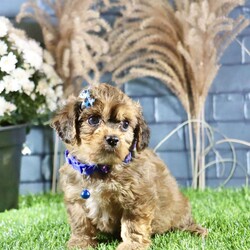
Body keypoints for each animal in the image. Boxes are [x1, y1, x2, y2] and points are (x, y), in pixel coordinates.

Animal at [51, 83, 207, 249]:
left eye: (125, 124)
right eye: (93, 120)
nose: (113, 139)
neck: (101, 168)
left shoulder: (137, 198)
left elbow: (133, 224)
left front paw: (132, 245)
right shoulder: (75, 198)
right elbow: (81, 223)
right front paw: (80, 243)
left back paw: (197, 231)